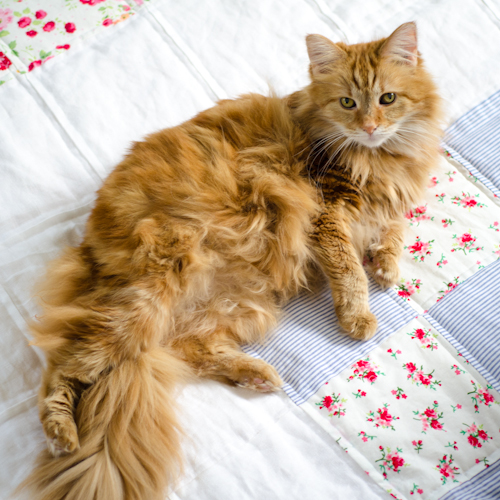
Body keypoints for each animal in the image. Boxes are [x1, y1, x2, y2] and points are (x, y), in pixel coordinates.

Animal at [22, 22, 442, 500]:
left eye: (387, 99)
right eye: (347, 103)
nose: (370, 126)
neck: (378, 157)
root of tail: (89, 250)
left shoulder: (387, 202)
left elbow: (395, 229)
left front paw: (388, 266)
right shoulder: (326, 212)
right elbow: (350, 271)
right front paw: (359, 315)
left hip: (234, 304)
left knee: (191, 350)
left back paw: (255, 373)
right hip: (147, 296)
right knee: (63, 364)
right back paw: (62, 435)